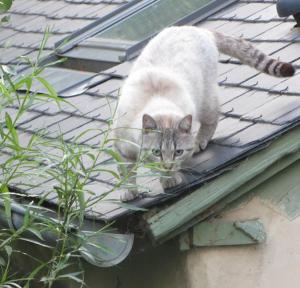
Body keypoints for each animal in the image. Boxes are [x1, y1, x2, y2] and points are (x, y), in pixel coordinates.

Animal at [112, 25, 296, 201]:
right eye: (156, 152)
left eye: (178, 152)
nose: (168, 166)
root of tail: (200, 29)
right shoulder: (122, 149)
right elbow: (126, 174)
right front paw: (129, 193)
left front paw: (169, 179)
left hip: (205, 101)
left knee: (213, 118)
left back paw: (199, 142)